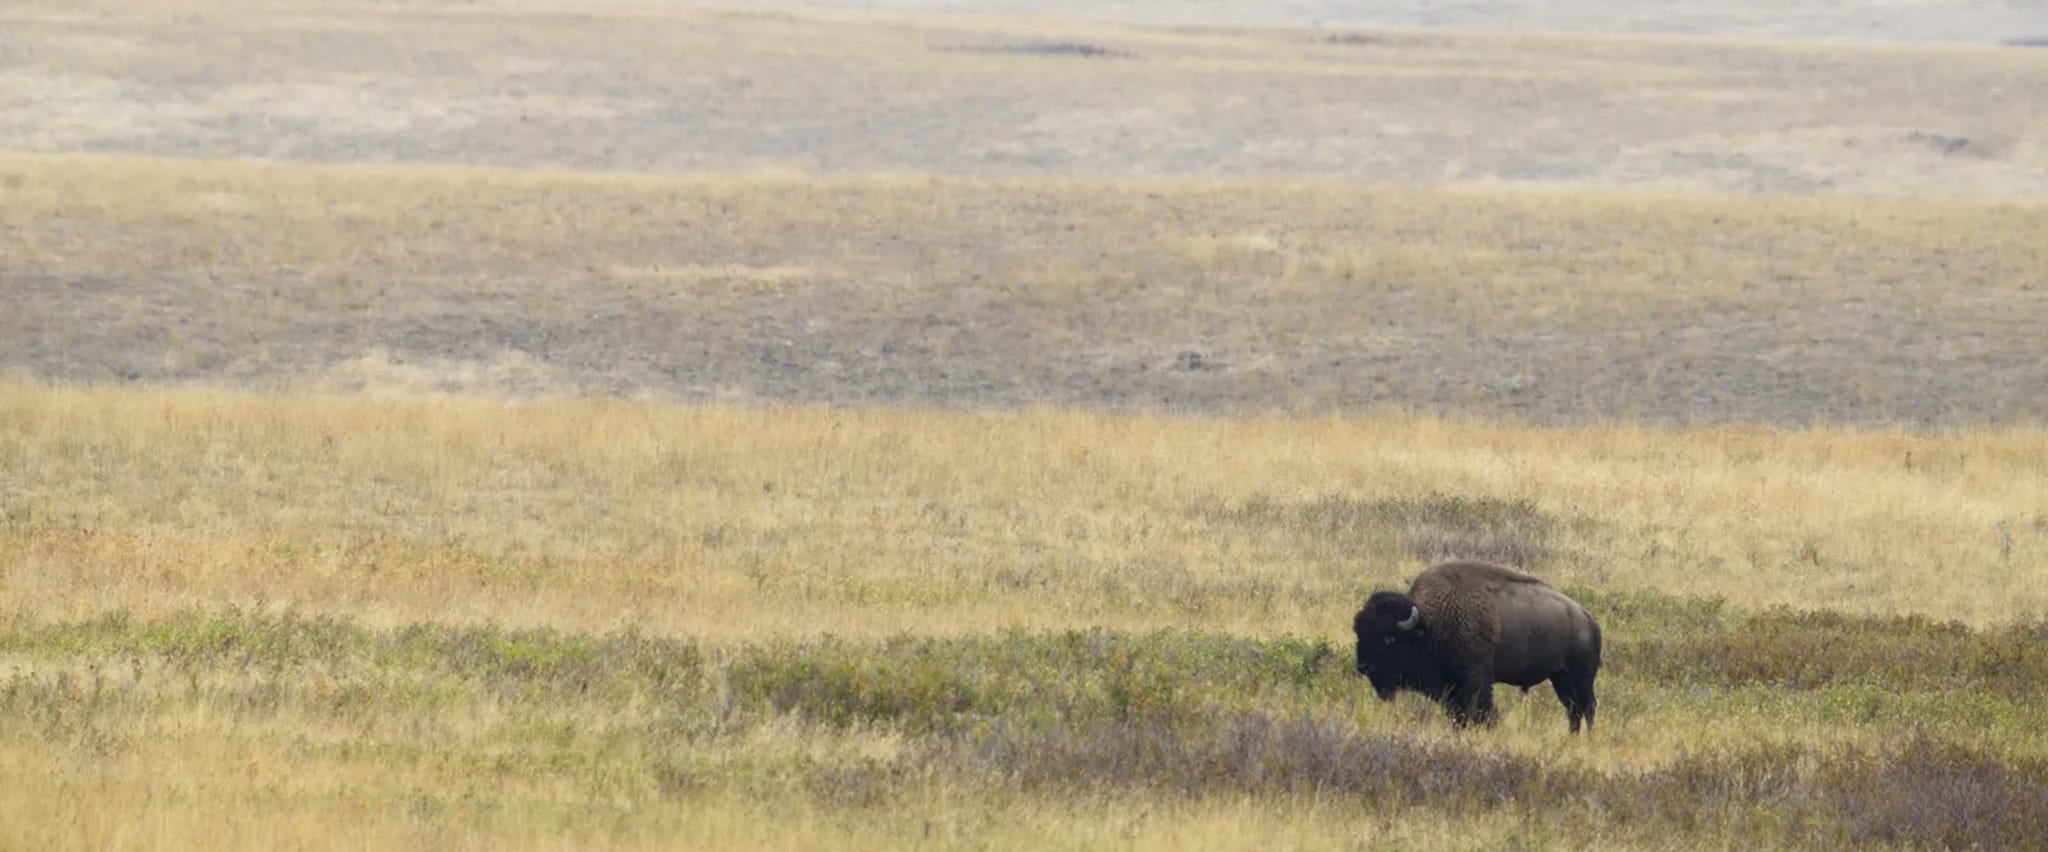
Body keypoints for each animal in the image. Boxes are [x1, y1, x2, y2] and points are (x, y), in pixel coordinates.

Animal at [1352, 560, 1602, 733]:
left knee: (1587, 708)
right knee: (1573, 710)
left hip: (1581, 678)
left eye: (1389, 639)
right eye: (1359, 634)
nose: (1363, 667)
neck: (1432, 625)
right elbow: (1458, 715)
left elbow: (1483, 712)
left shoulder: (1476, 679)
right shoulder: (1451, 689)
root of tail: (1588, 619)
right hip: (1561, 678)